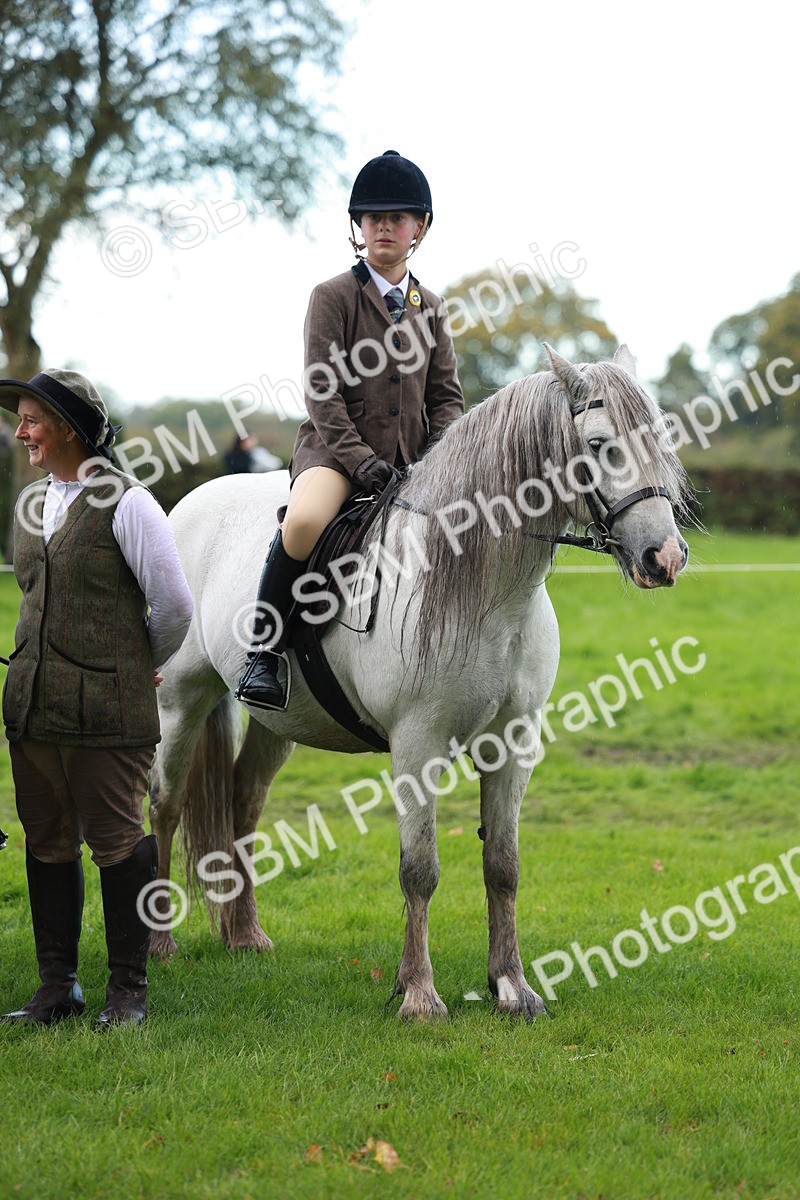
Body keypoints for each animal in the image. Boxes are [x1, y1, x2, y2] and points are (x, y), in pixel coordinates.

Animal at [146, 344, 691, 1021]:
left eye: (660, 439)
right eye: (599, 443)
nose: (664, 557)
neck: (487, 590)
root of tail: (188, 504)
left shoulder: (514, 744)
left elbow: (502, 863)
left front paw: (512, 987)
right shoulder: (416, 745)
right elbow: (420, 869)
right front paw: (418, 994)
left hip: (281, 720)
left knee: (243, 800)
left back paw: (245, 935)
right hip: (180, 700)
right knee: (165, 804)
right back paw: (159, 944)